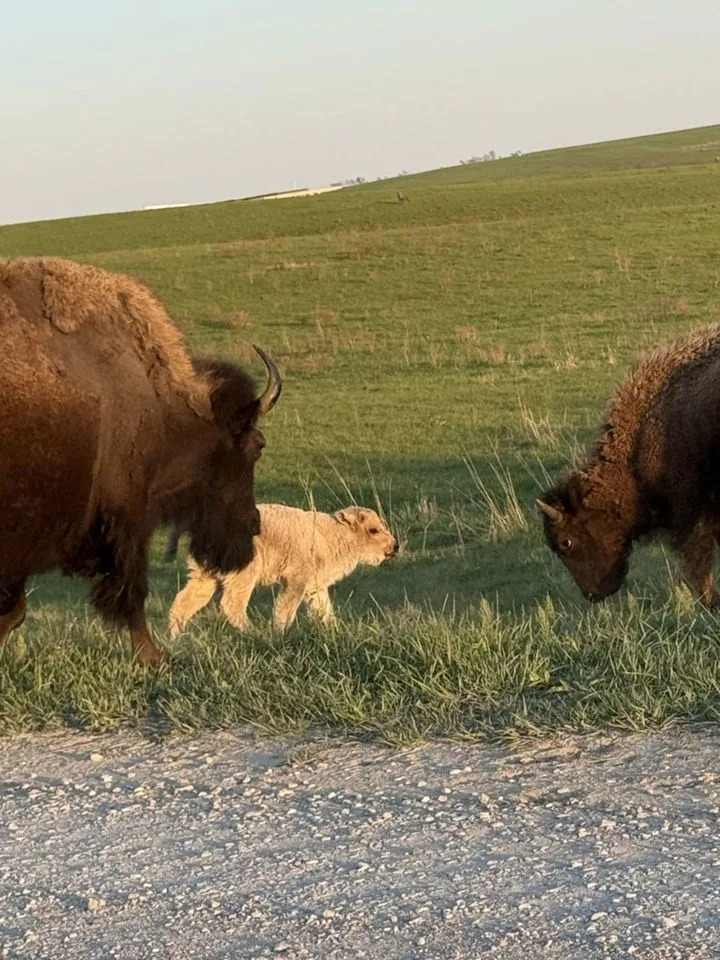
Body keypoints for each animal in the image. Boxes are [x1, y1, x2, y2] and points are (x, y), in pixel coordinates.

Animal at [0, 256, 281, 665]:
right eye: (257, 446)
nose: (254, 524)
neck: (162, 408)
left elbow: (14, 610)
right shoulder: (126, 517)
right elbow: (131, 592)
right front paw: (154, 657)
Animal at [167, 504, 399, 636]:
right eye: (373, 530)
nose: (395, 546)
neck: (331, 535)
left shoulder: (314, 586)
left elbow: (324, 611)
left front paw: (336, 633)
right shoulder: (296, 580)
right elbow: (285, 609)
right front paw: (279, 634)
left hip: (204, 577)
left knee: (183, 603)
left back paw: (175, 641)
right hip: (243, 573)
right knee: (231, 604)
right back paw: (255, 634)